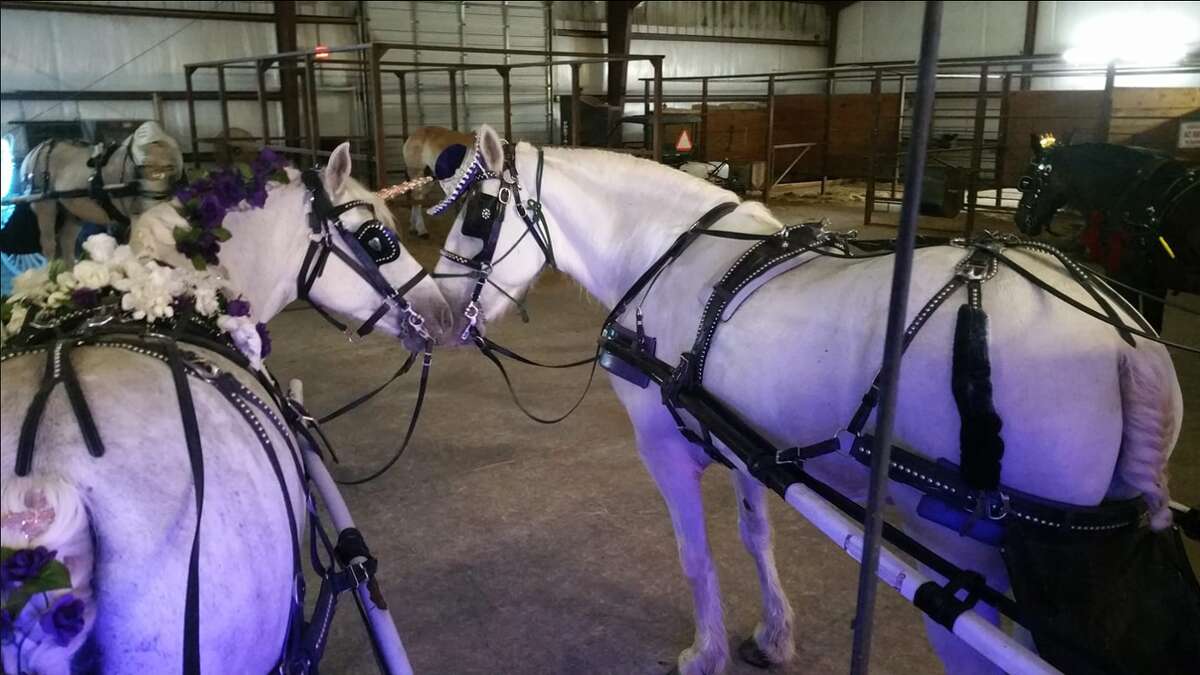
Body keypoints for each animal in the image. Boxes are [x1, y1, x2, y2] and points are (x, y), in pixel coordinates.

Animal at [14, 120, 184, 263]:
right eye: (142, 167)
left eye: (170, 168)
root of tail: (33, 152)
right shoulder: (138, 216)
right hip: (45, 205)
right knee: (49, 243)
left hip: (74, 211)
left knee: (66, 240)